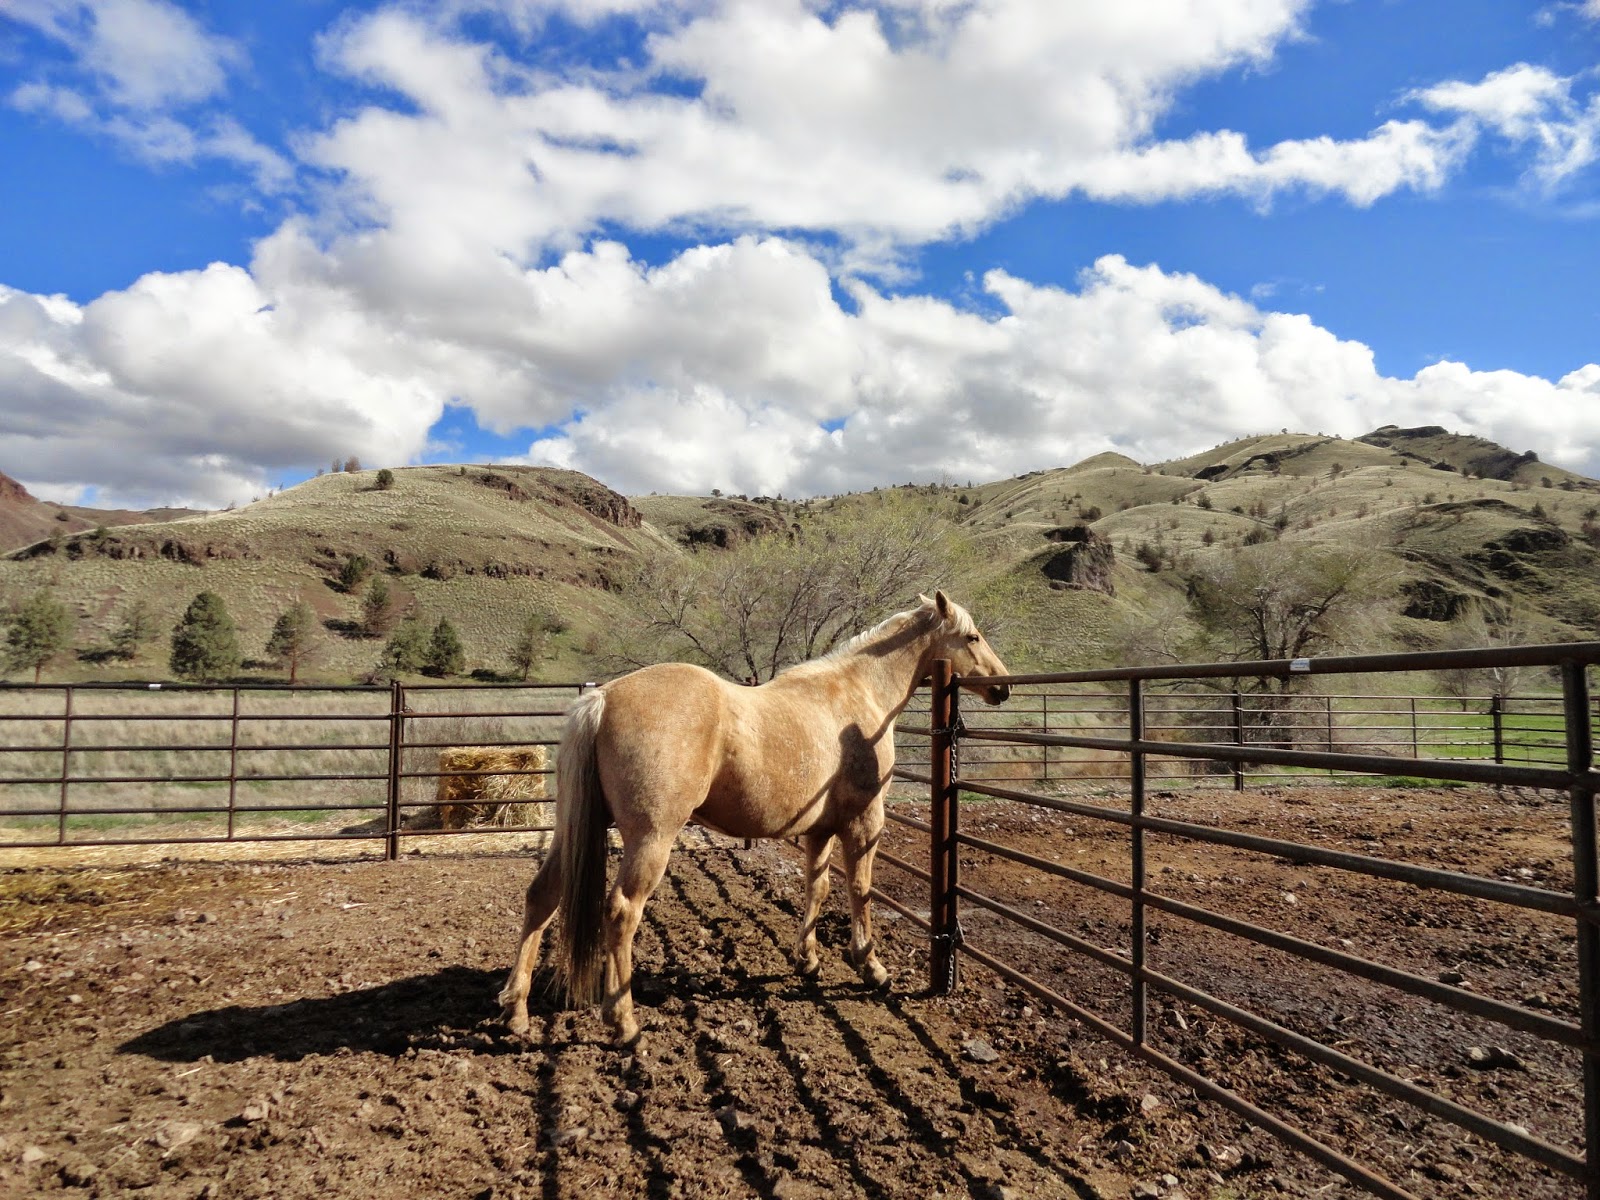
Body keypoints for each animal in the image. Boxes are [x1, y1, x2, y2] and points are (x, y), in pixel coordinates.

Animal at [499, 592, 1004, 1043]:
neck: (857, 694)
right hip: (651, 839)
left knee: (543, 896)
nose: (1002, 685)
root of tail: (601, 701)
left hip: (573, 830)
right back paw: (623, 1023)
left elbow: (817, 887)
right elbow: (860, 890)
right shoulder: (864, 823)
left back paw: (516, 1011)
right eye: (972, 636)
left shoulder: (819, 830)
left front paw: (808, 960)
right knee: (622, 911)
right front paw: (871, 966)